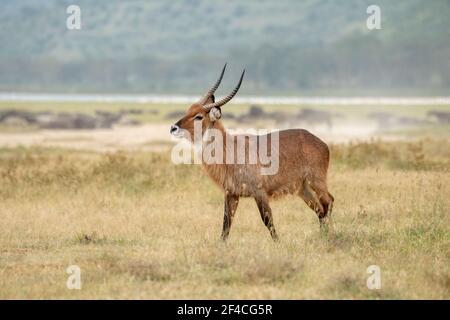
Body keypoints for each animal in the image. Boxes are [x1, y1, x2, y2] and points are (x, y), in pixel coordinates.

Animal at [171, 64, 332, 240]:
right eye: (188, 110)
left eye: (199, 117)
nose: (173, 128)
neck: (230, 150)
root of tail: (321, 142)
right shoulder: (231, 194)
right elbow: (226, 225)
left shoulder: (259, 192)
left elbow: (267, 220)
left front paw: (278, 243)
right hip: (303, 188)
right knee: (319, 210)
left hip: (316, 181)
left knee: (328, 202)